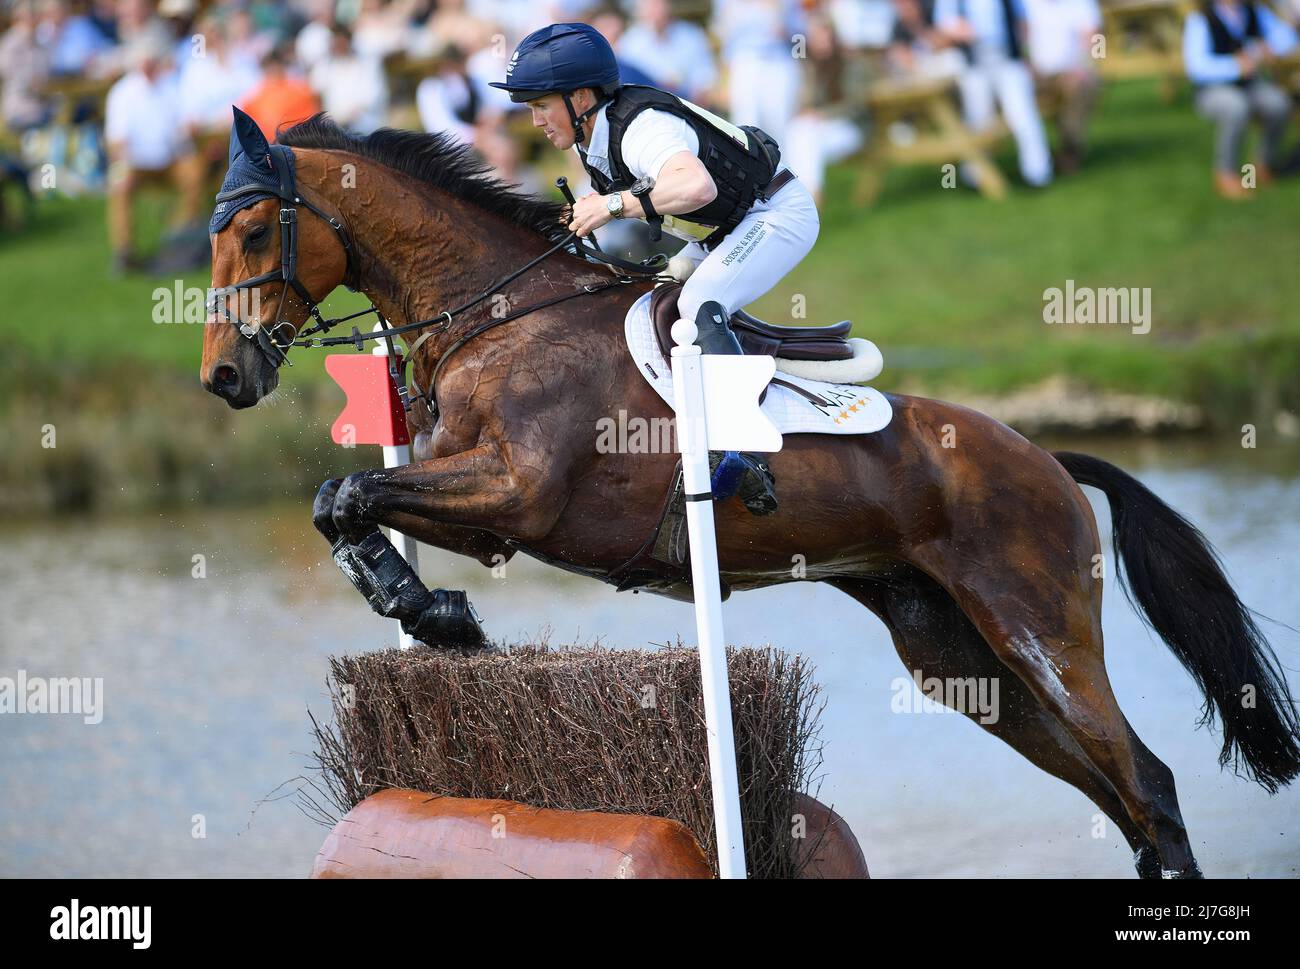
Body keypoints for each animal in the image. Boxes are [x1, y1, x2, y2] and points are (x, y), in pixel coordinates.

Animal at [202, 113, 1300, 879]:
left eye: (252, 231)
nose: (223, 377)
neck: (503, 317)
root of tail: (1046, 457)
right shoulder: (478, 503)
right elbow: (342, 497)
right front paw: (426, 611)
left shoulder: (516, 498)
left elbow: (351, 490)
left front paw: (435, 612)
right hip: (955, 654)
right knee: (1118, 794)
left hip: (1038, 627)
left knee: (1145, 783)